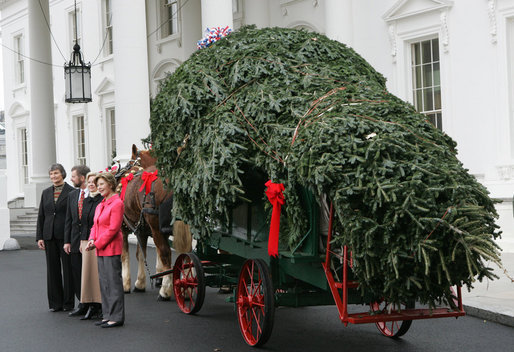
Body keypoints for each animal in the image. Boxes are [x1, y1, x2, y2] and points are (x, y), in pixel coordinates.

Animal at [119, 145, 191, 300]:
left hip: (157, 228)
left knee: (165, 253)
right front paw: (140, 282)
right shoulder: (141, 229)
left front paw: (126, 284)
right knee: (188, 253)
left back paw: (165, 290)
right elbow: (141, 254)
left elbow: (126, 255)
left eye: (130, 162)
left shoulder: (125, 229)